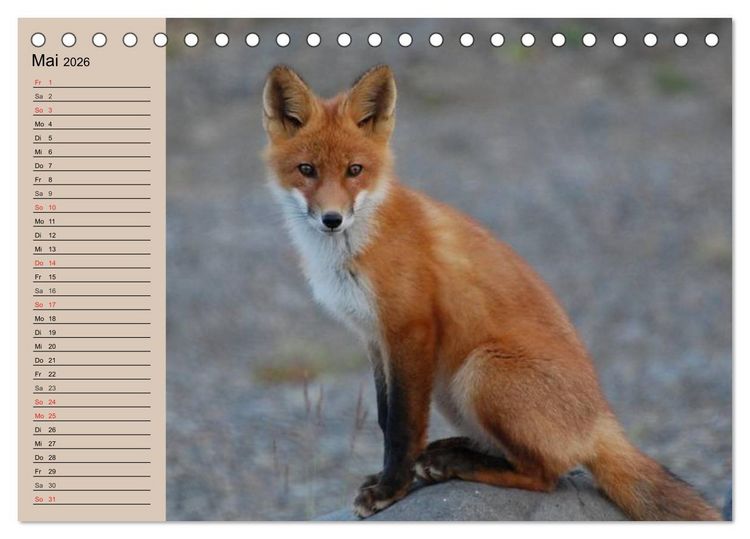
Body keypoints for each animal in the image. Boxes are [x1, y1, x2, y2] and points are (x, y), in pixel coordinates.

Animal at [262, 64, 721, 521]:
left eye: (354, 170)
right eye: (307, 170)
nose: (332, 219)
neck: (352, 250)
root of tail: (601, 421)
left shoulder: (410, 328)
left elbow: (402, 425)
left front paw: (391, 488)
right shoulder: (374, 337)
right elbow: (383, 415)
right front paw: (390, 477)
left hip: (480, 371)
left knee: (545, 474)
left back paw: (457, 464)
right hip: (451, 389)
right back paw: (448, 453)